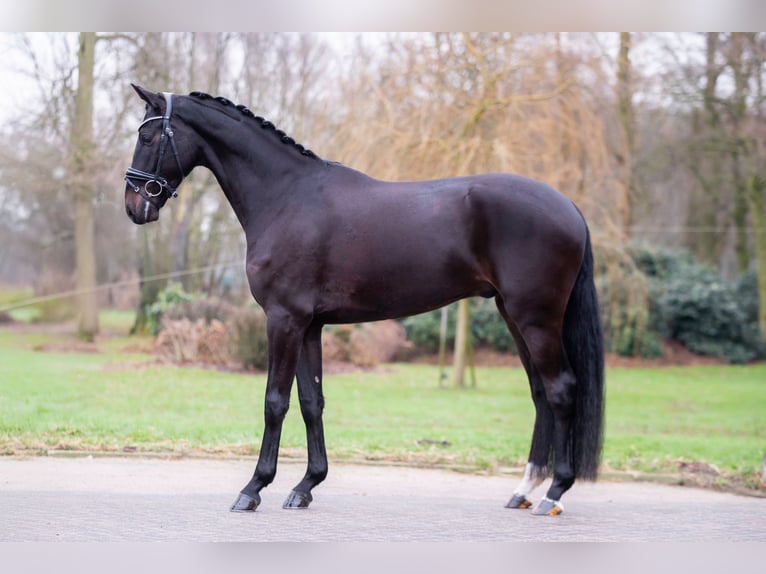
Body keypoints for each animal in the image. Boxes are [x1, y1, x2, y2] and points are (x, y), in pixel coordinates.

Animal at [124, 86, 608, 520]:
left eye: (147, 136)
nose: (134, 205)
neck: (287, 197)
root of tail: (569, 207)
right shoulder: (310, 325)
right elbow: (311, 401)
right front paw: (306, 486)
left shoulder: (284, 319)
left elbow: (275, 401)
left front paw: (254, 488)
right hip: (513, 314)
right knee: (540, 393)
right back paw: (524, 489)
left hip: (536, 318)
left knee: (561, 390)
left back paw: (555, 492)